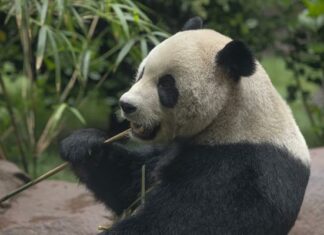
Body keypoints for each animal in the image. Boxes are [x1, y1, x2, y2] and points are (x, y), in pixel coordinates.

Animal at [59, 17, 310, 235]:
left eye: (166, 85)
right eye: (141, 73)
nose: (126, 104)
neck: (229, 116)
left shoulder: (239, 169)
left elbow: (180, 221)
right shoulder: (171, 150)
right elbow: (129, 183)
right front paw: (83, 144)